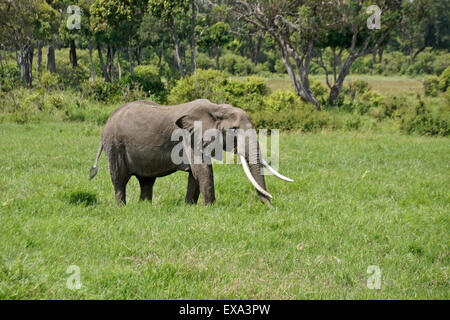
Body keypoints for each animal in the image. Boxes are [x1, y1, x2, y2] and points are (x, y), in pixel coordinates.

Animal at [89, 99, 292, 206]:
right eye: (234, 130)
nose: (269, 204)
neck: (216, 109)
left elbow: (195, 174)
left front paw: (189, 207)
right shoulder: (189, 138)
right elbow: (202, 170)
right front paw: (210, 207)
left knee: (146, 181)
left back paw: (145, 206)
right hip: (114, 145)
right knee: (119, 179)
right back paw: (122, 207)